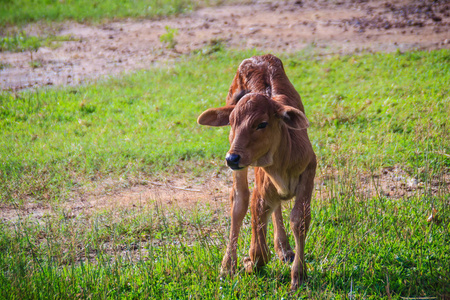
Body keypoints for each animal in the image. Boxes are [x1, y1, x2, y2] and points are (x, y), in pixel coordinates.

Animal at [197, 54, 316, 290]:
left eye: (262, 124)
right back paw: (228, 265)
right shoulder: (260, 190)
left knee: (276, 207)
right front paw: (248, 263)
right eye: (232, 122)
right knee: (239, 200)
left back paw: (284, 248)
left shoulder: (309, 171)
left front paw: (298, 275)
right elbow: (258, 247)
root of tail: (257, 58)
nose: (231, 158)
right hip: (240, 167)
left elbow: (299, 219)